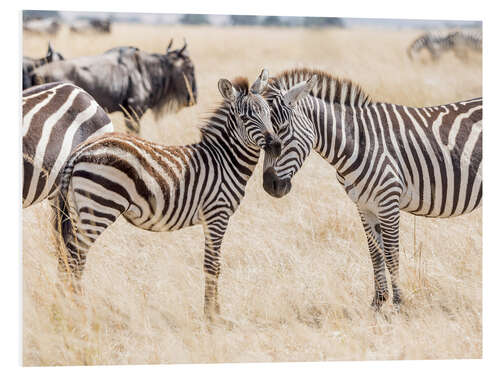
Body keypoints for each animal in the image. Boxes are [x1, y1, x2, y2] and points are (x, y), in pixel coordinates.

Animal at [53, 70, 282, 324]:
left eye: (269, 113)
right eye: (244, 117)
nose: (276, 144)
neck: (224, 161)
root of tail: (80, 150)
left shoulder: (212, 219)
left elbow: (212, 264)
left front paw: (214, 313)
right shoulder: (217, 215)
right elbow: (213, 265)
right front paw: (212, 316)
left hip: (77, 208)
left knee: (67, 254)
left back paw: (66, 305)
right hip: (100, 206)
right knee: (76, 256)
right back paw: (79, 309)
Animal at [258, 67, 480, 312]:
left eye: (283, 130)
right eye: (261, 137)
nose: (270, 185)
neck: (358, 143)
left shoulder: (388, 202)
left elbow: (391, 255)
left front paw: (398, 306)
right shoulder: (364, 206)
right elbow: (375, 253)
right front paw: (378, 304)